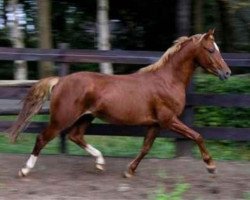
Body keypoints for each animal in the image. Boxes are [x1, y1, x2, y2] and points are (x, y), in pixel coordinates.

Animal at [8, 29, 230, 177]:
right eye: (211, 49)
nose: (227, 73)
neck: (167, 80)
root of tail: (60, 80)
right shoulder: (169, 119)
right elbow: (197, 135)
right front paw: (211, 166)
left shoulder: (156, 124)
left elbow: (146, 147)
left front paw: (129, 171)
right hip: (62, 118)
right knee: (42, 138)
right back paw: (25, 170)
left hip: (86, 117)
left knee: (75, 136)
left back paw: (100, 163)